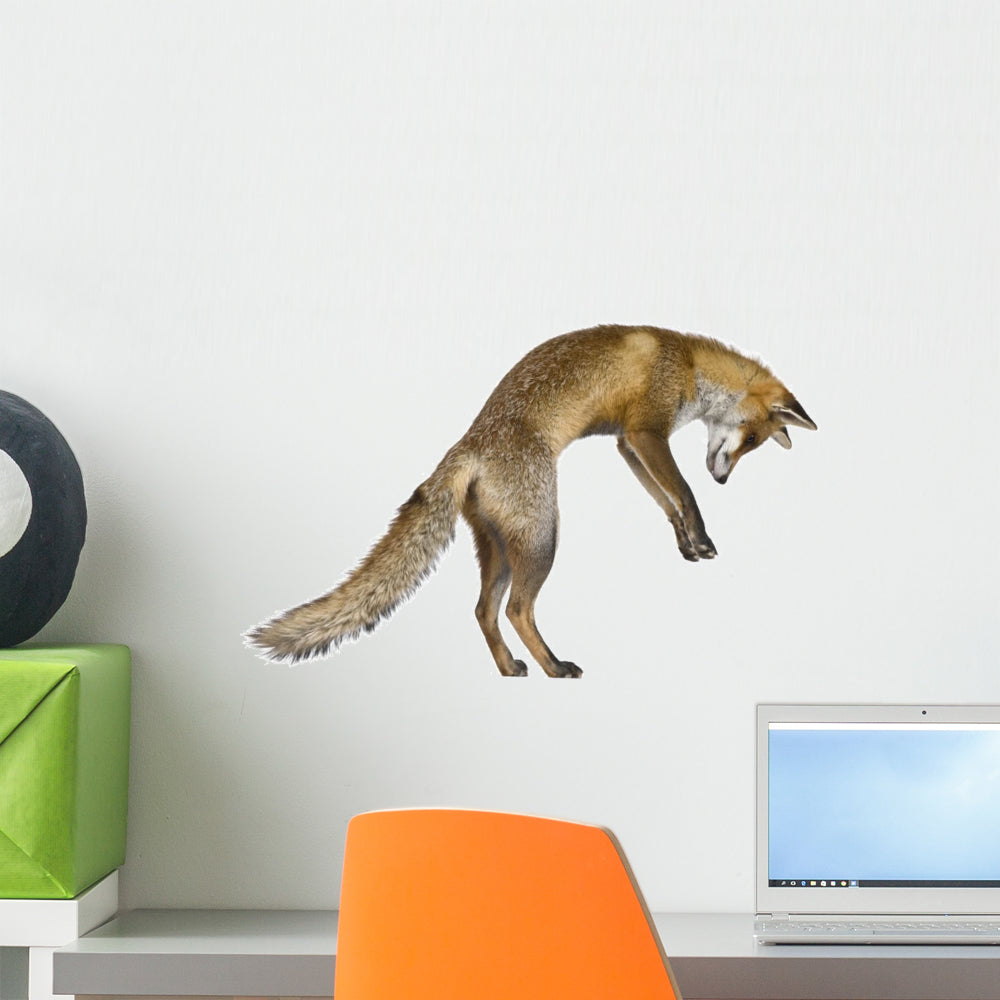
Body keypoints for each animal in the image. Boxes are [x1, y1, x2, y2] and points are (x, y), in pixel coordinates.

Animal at [247, 325, 816, 677]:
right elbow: (684, 491)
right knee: (518, 609)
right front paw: (701, 532)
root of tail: (468, 445)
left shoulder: (626, 444)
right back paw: (554, 668)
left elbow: (666, 499)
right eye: (749, 438)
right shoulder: (644, 430)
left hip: (501, 546)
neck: (689, 362)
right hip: (544, 535)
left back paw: (509, 669)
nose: (723, 481)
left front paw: (686, 542)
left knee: (483, 610)